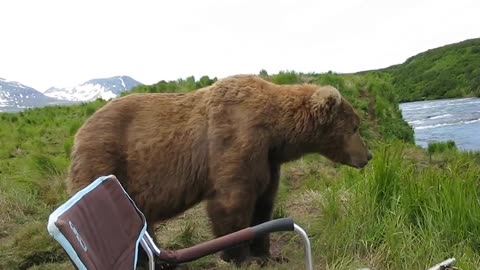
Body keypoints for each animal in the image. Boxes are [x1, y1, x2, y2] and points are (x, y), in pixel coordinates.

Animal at [65, 73, 372, 266]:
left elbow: (264, 203)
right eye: (355, 127)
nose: (367, 156)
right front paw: (240, 256)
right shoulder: (236, 140)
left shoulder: (268, 160)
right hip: (107, 161)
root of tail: (79, 132)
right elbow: (232, 201)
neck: (276, 132)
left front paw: (268, 254)